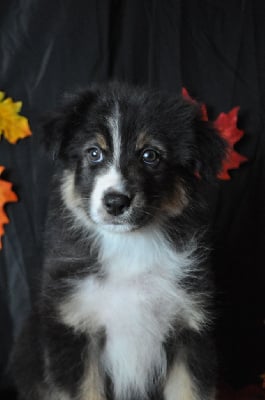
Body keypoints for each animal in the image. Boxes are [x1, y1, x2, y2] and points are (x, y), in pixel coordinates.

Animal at [12, 82, 226, 400]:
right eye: (94, 153)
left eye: (150, 155)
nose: (115, 202)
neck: (129, 246)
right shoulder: (74, 328)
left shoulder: (190, 331)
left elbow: (189, 390)